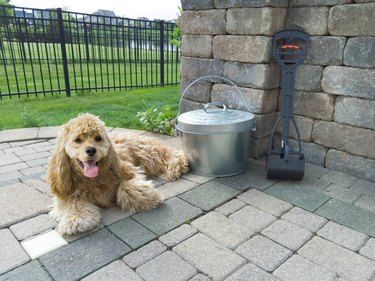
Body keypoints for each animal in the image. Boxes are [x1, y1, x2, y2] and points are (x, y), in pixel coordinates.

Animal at [47, 113, 189, 234]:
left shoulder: (130, 170)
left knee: (176, 155)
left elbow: (126, 186)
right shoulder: (65, 192)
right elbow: (74, 202)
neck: (93, 179)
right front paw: (77, 220)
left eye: (98, 138)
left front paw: (149, 197)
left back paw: (173, 169)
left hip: (147, 154)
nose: (91, 150)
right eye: (77, 140)